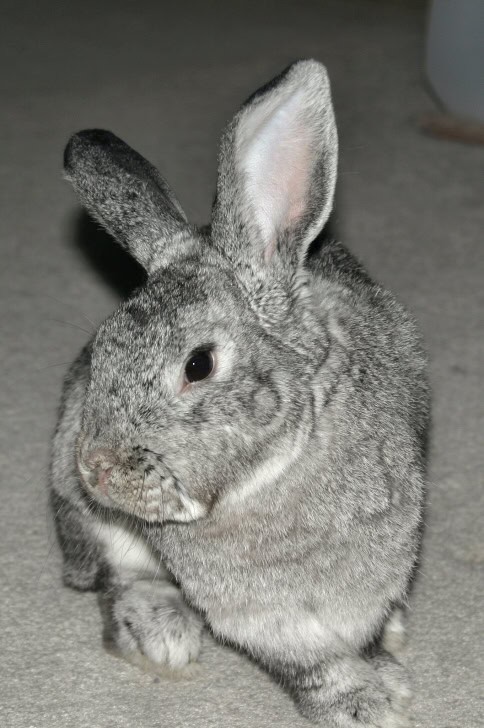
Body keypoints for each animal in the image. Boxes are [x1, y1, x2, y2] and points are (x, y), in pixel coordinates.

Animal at [51, 59, 430, 724]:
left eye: (199, 365)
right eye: (102, 348)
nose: (94, 468)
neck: (275, 471)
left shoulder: (381, 567)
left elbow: (364, 632)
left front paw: (386, 676)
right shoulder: (265, 615)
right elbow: (312, 663)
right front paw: (364, 705)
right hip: (96, 528)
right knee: (116, 577)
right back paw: (161, 633)